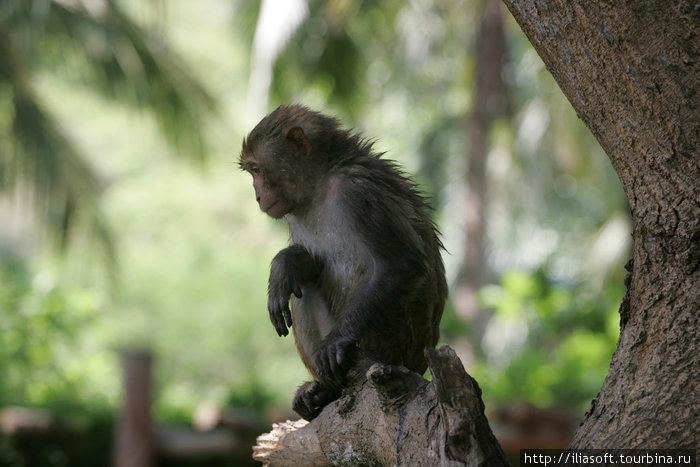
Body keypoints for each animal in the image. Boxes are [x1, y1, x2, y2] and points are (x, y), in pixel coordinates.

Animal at [241, 105, 446, 420]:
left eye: (257, 169)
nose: (257, 194)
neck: (320, 184)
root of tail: (418, 364)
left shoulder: (358, 191)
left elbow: (402, 265)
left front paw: (337, 340)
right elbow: (310, 264)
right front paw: (285, 264)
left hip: (386, 347)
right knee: (302, 289)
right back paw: (325, 391)